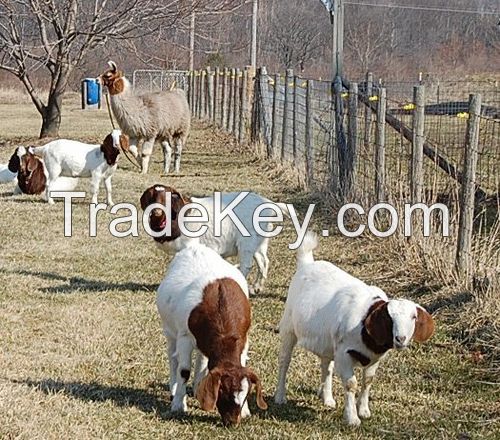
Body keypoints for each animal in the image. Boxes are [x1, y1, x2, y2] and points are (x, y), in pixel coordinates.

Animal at [141, 184, 290, 294]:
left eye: (168, 198)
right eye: (151, 198)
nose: (156, 212)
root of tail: (269, 204)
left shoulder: (190, 244)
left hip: (247, 241)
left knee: (247, 265)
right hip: (259, 241)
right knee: (263, 261)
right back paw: (257, 288)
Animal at [157, 237, 268, 426]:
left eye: (246, 395)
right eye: (222, 391)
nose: (232, 422)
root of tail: (195, 247)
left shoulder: (244, 339)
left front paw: (246, 411)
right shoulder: (185, 337)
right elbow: (184, 371)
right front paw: (179, 404)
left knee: (202, 357)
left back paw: (196, 388)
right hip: (170, 330)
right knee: (173, 359)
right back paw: (174, 389)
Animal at [276, 232, 436, 424]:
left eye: (413, 317)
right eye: (389, 317)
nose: (401, 339)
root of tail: (307, 263)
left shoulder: (373, 358)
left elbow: (368, 380)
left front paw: (364, 410)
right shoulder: (344, 353)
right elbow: (351, 384)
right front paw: (352, 418)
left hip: (327, 342)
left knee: (326, 366)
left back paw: (327, 398)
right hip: (289, 328)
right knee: (284, 361)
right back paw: (280, 397)